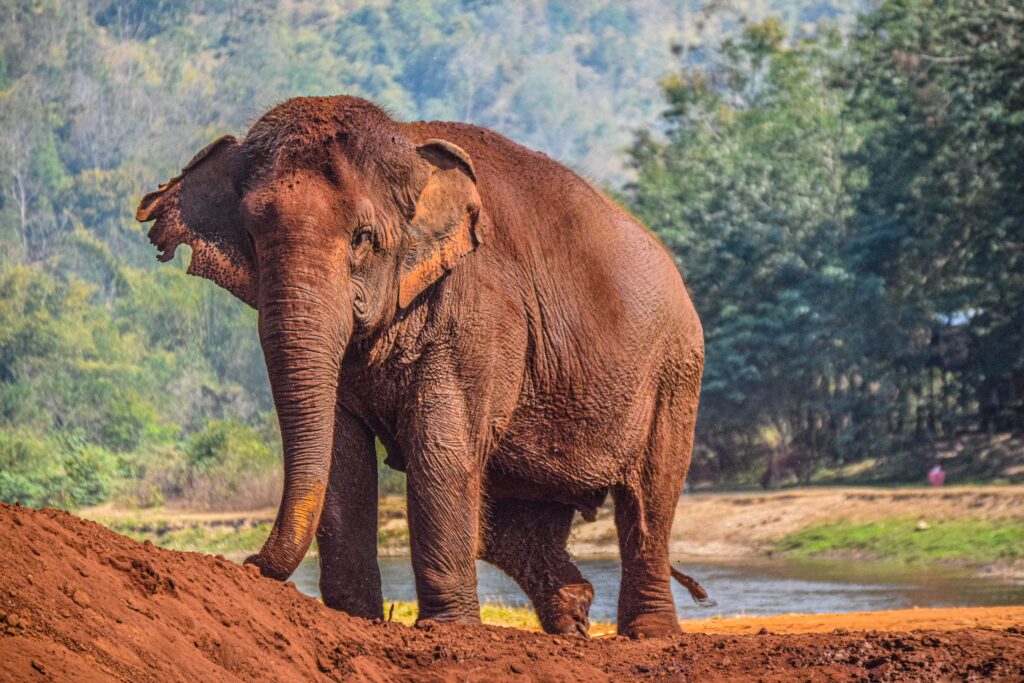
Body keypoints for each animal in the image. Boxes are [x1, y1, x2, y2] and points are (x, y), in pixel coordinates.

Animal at [136, 95, 710, 638]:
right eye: (252, 236)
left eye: (362, 238)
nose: (248, 563)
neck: (406, 144)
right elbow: (344, 455)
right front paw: (356, 618)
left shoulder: (480, 310)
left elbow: (441, 447)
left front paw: (449, 629)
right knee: (511, 523)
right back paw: (573, 617)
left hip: (675, 370)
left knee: (649, 498)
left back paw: (649, 633)